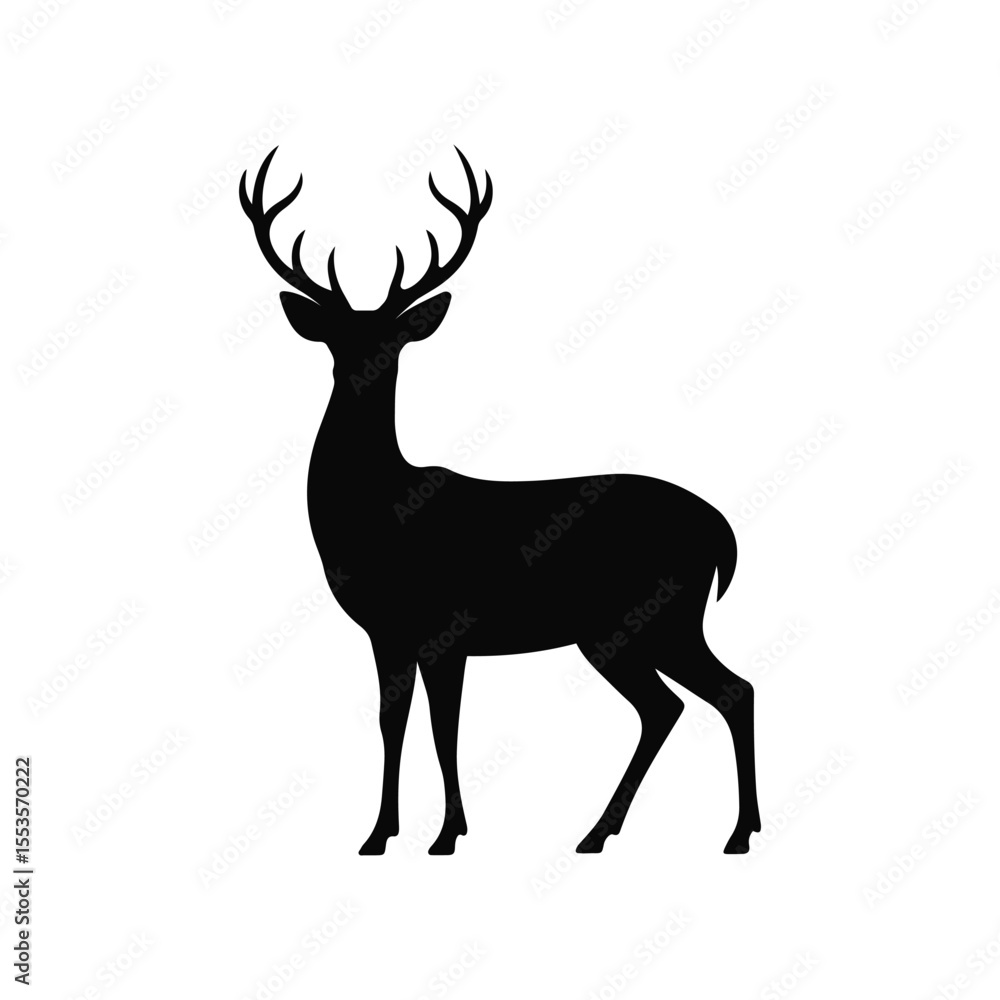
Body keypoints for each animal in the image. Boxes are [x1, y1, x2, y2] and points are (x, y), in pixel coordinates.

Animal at [239, 146, 761, 856]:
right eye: (336, 339)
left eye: (393, 341)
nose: (361, 372)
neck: (378, 515)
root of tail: (722, 532)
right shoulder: (388, 632)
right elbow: (394, 721)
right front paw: (379, 835)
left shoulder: (446, 624)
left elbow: (444, 727)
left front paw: (445, 835)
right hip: (625, 629)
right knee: (674, 705)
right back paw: (610, 832)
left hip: (656, 616)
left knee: (726, 692)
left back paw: (728, 833)